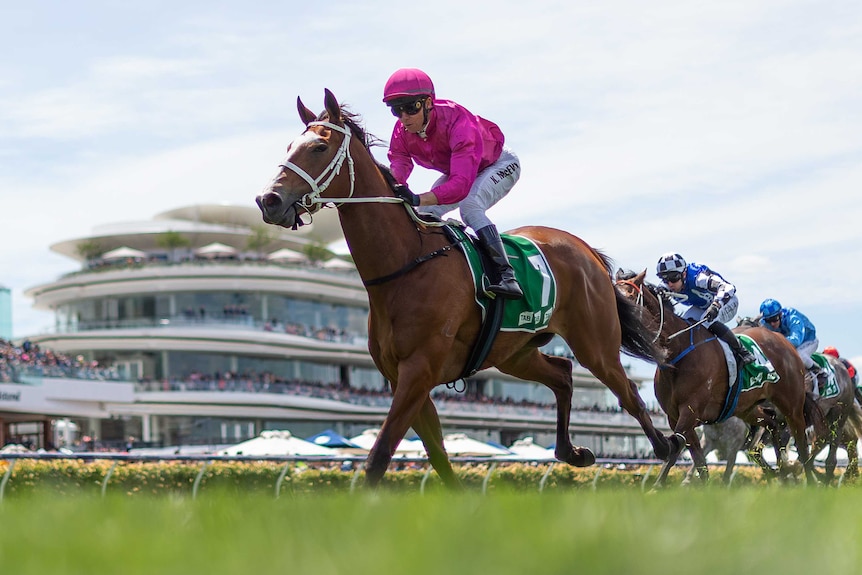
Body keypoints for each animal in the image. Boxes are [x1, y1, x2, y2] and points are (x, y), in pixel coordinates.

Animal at [253, 89, 684, 486]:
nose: (268, 200)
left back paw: (668, 450)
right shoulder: (404, 378)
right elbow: (438, 458)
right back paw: (573, 452)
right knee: (562, 373)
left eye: (319, 146)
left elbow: (378, 458)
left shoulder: (419, 371)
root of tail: (584, 250)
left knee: (628, 394)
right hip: (514, 352)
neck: (404, 265)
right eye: (289, 147)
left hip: (594, 344)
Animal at [616, 270, 824, 486]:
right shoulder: (676, 416)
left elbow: (679, 447)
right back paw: (781, 472)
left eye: (629, 297)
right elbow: (695, 458)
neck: (680, 352)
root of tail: (785, 342)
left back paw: (806, 478)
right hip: (746, 408)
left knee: (801, 444)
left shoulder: (690, 411)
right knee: (771, 424)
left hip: (792, 406)